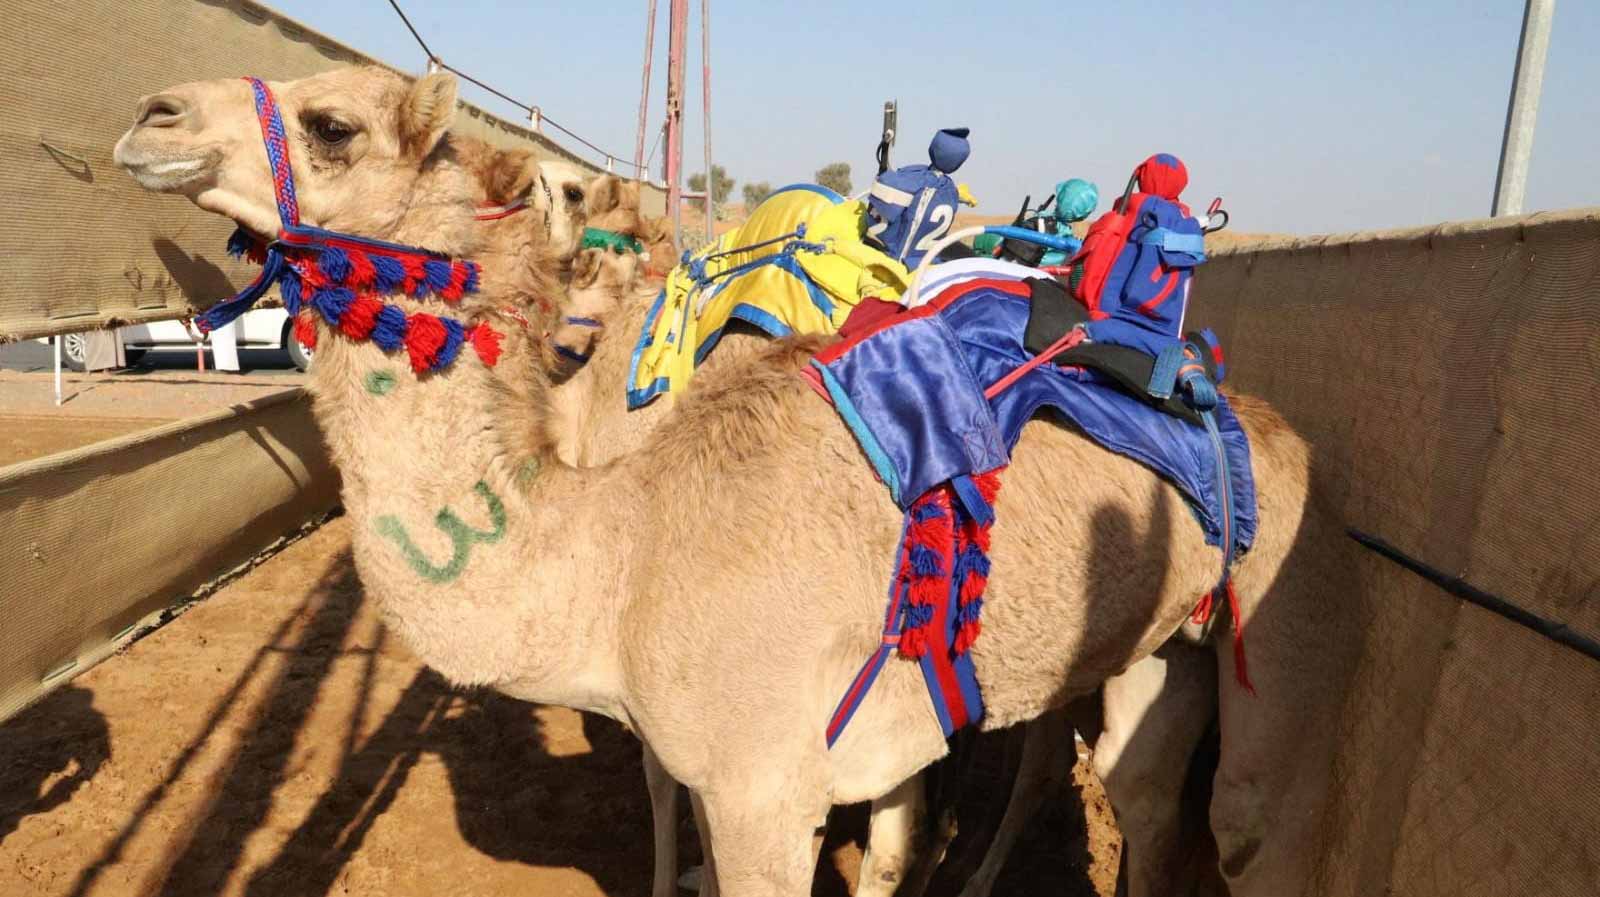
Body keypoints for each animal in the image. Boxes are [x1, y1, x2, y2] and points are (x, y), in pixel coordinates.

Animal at [115, 66, 1355, 897]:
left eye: (332, 124)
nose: (151, 114)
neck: (615, 554)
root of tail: (1265, 423)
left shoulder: (766, 786)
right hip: (1150, 640)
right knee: (1143, 801)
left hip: (1282, 589)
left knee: (1247, 825)